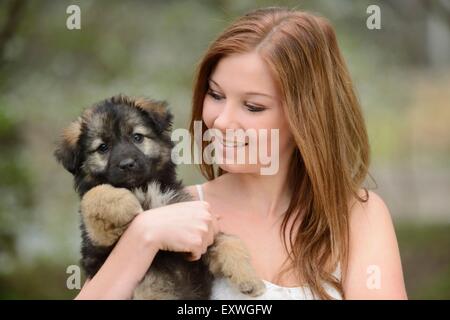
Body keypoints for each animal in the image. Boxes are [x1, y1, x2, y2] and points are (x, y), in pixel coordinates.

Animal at [53, 95, 264, 300]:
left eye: (137, 137)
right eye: (103, 147)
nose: (127, 164)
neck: (142, 187)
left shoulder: (199, 241)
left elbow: (229, 241)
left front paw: (248, 278)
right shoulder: (99, 244)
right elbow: (94, 193)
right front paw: (126, 202)